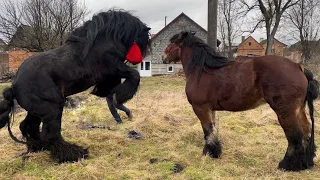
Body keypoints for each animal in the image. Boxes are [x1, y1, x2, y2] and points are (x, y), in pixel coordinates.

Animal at [0, 8, 151, 163]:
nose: (139, 58)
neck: (102, 42)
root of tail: (14, 85)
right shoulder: (113, 68)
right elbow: (134, 75)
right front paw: (120, 96)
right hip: (52, 108)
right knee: (50, 134)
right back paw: (74, 154)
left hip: (37, 110)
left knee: (28, 127)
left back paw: (38, 147)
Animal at [164, 31, 318, 172]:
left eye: (171, 42)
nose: (163, 57)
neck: (201, 71)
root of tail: (298, 66)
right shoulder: (210, 109)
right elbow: (213, 130)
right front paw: (215, 152)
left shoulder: (200, 108)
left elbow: (207, 131)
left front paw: (208, 153)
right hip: (299, 110)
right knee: (306, 131)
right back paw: (306, 163)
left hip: (285, 112)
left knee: (295, 136)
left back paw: (287, 165)